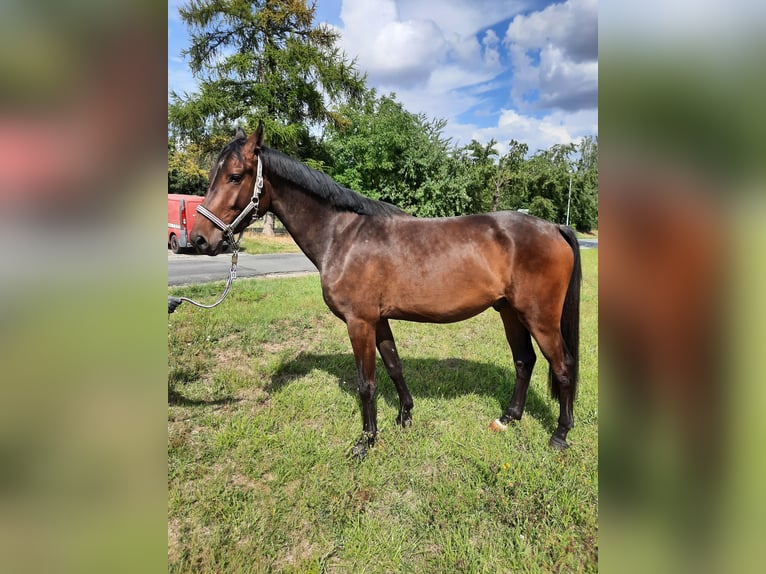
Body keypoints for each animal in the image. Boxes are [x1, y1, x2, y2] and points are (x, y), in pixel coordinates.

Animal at [190, 123, 582, 458]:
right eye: (212, 176)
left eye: (235, 176)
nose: (199, 239)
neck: (343, 236)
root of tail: (555, 227)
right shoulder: (378, 320)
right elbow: (393, 365)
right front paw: (405, 416)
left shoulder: (358, 322)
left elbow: (367, 382)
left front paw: (366, 440)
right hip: (510, 312)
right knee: (524, 361)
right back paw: (509, 418)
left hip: (540, 318)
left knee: (563, 366)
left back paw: (560, 435)